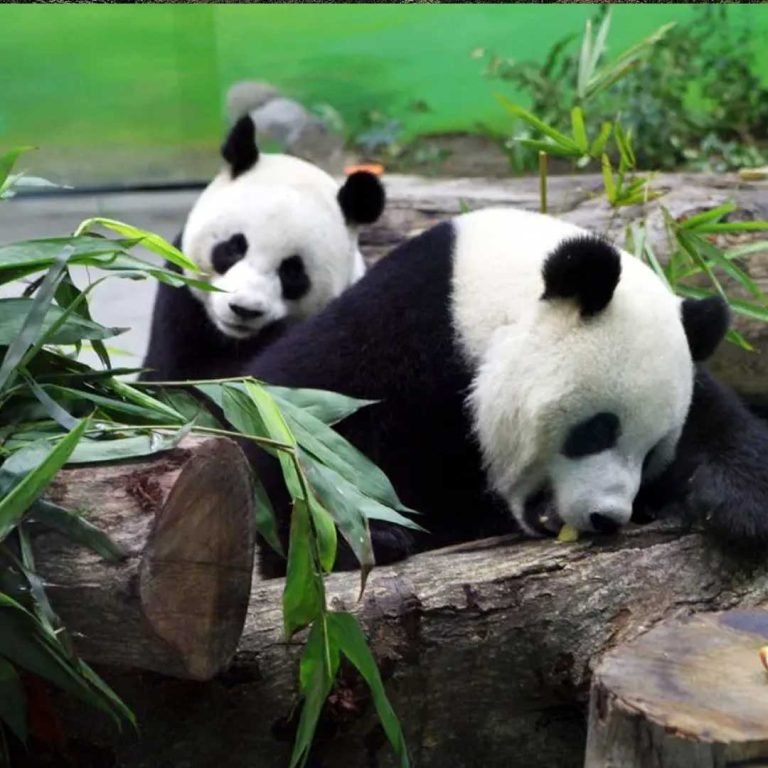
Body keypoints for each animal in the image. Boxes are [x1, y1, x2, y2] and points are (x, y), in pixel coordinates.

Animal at [235, 207, 768, 578]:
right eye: (596, 431)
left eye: (653, 452)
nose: (608, 516)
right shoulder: (399, 331)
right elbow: (289, 419)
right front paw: (368, 536)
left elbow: (714, 417)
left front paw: (740, 509)